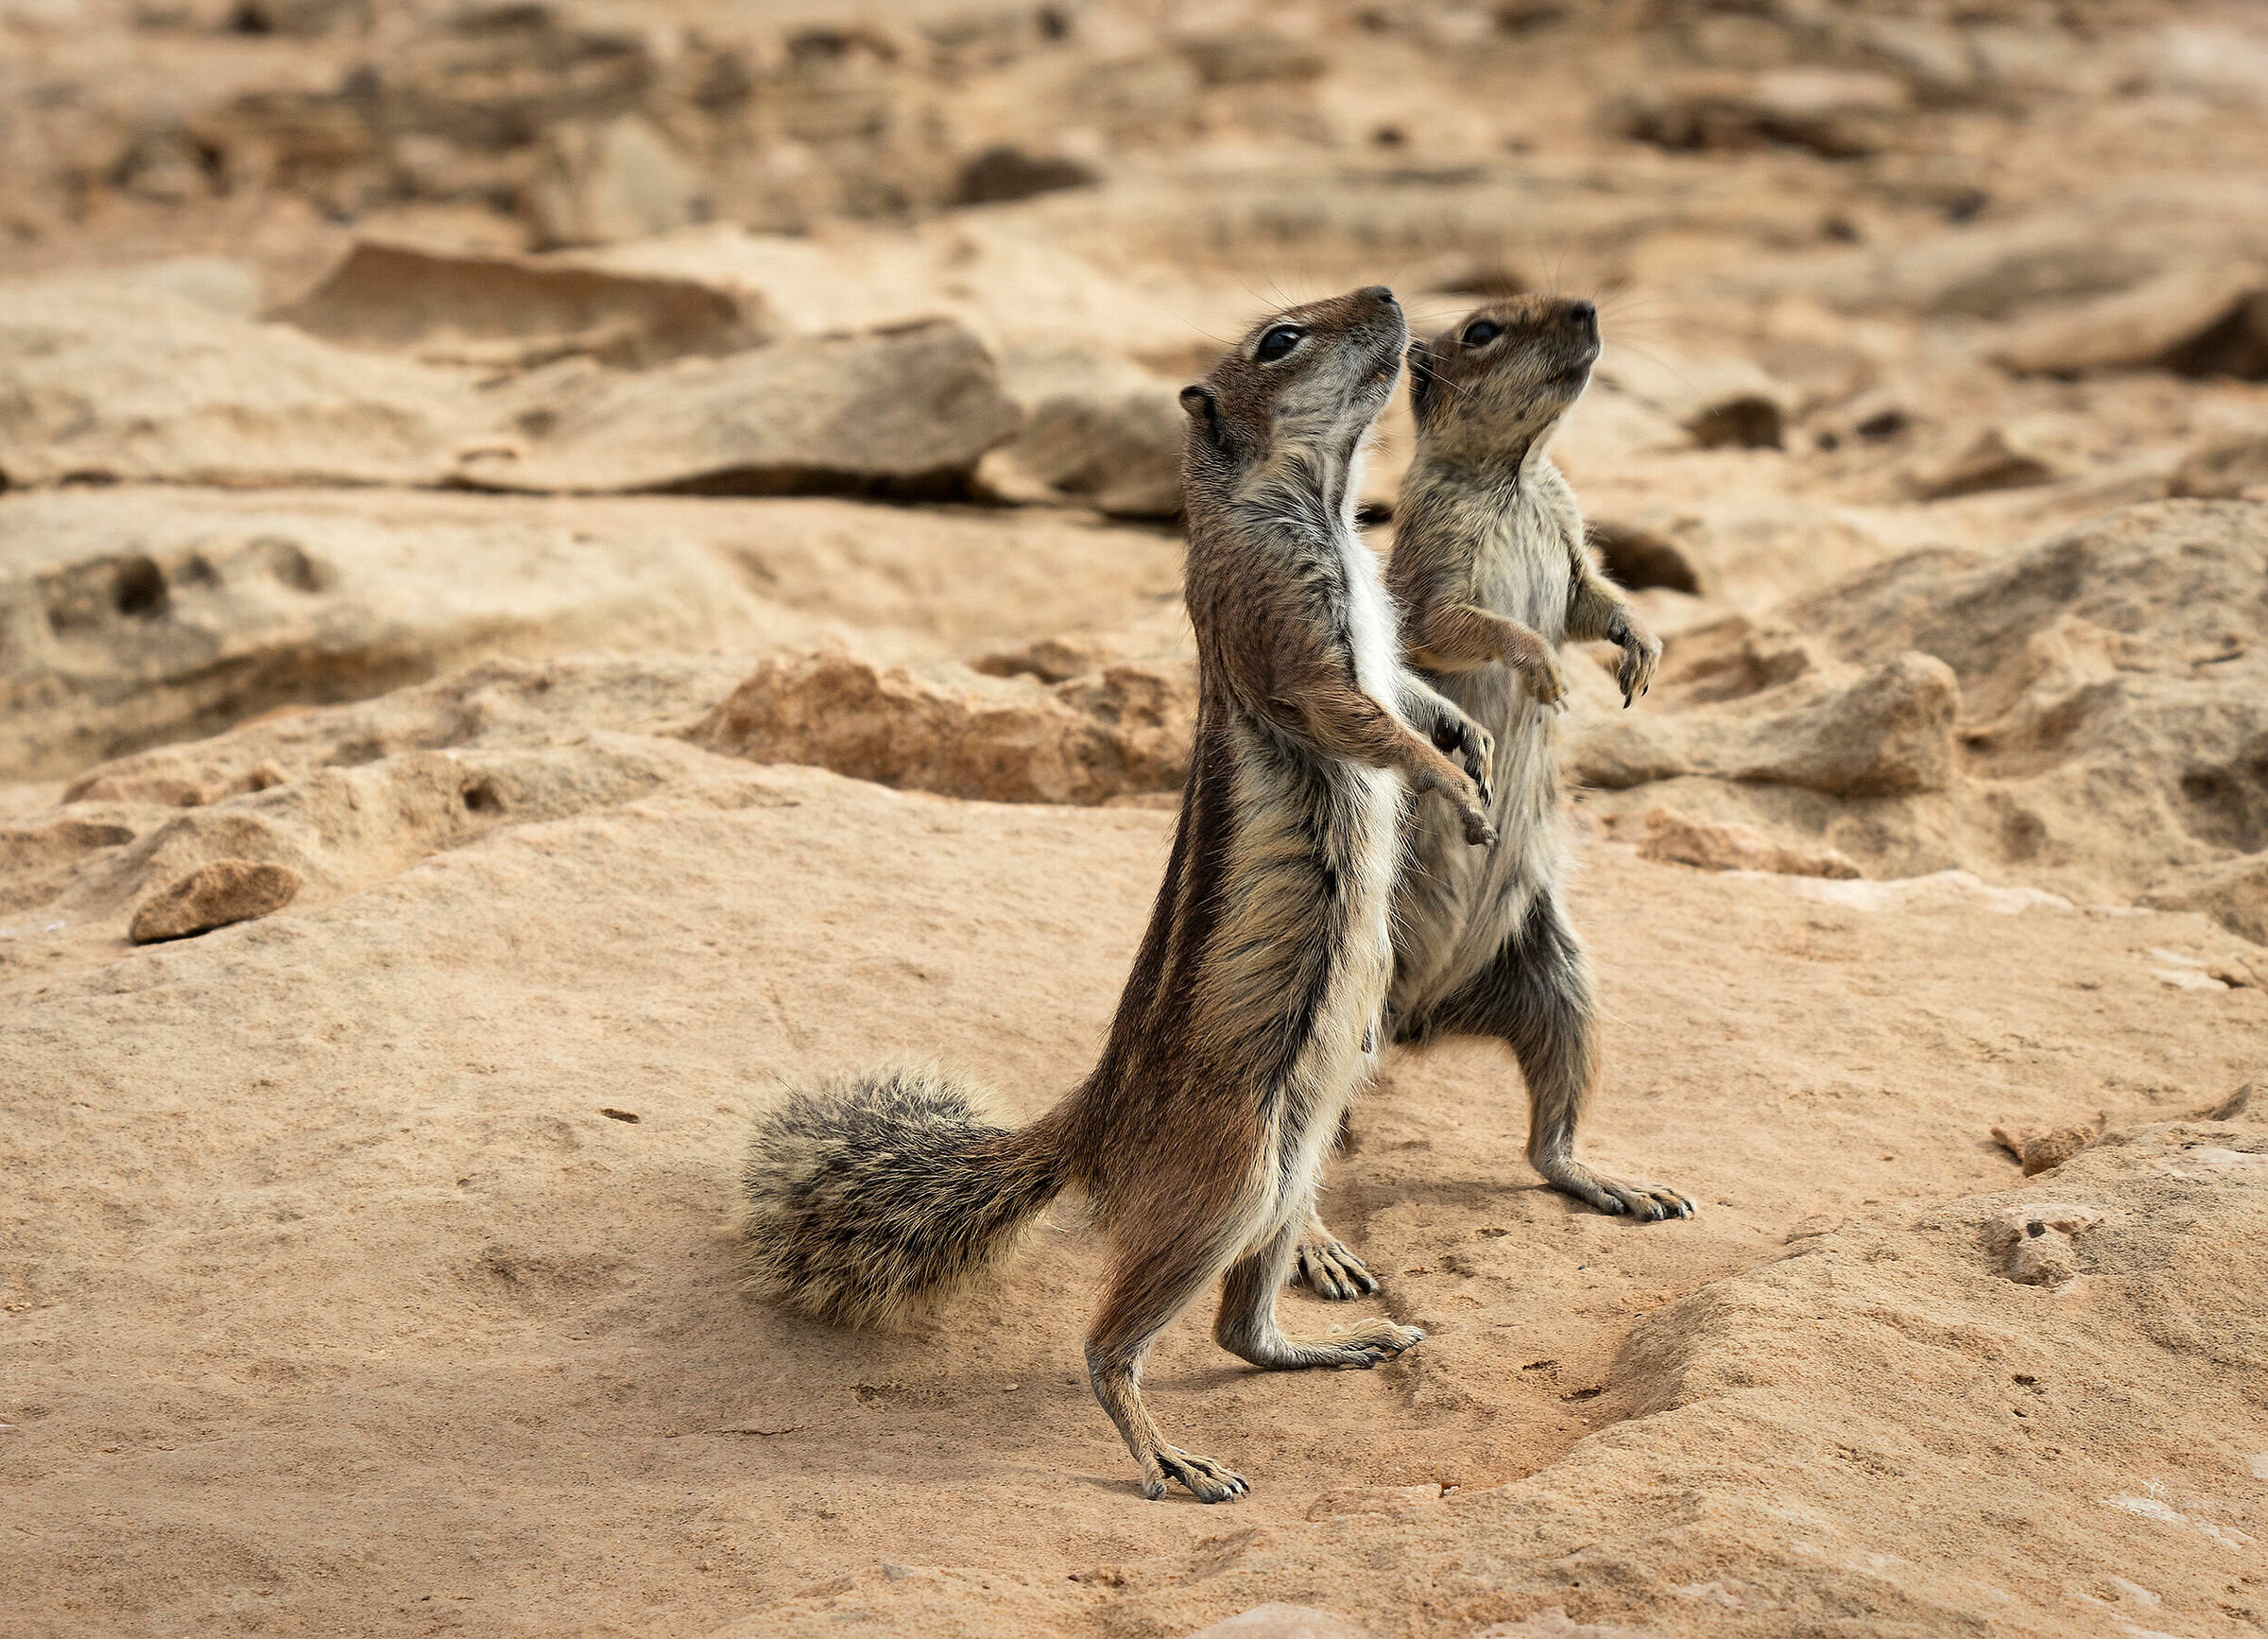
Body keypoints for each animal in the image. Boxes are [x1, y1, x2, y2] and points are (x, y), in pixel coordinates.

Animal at [740, 286, 1499, 1503]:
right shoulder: (1286, 636)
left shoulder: (1380, 640)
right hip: (1233, 1173)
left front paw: (1472, 744)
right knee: (1107, 1346)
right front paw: (1454, 789)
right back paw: (1168, 1455)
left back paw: (1334, 1346)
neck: (1318, 506)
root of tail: (1090, 1120)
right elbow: (1365, 724)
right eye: (1280, 339)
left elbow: (1419, 700)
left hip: (1294, 1157)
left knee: (1241, 1332)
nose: (1387, 295)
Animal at [1291, 294, 1694, 1304]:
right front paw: (1541, 669)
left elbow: (1597, 600)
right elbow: (1469, 625)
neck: (1515, 475)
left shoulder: (1574, 539)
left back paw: (1622, 1185)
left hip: (1565, 985)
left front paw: (1642, 650)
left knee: (1548, 1143)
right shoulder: (1435, 575)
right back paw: (1318, 1251)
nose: (1589, 307)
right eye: (1480, 331)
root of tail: (1418, 1016)